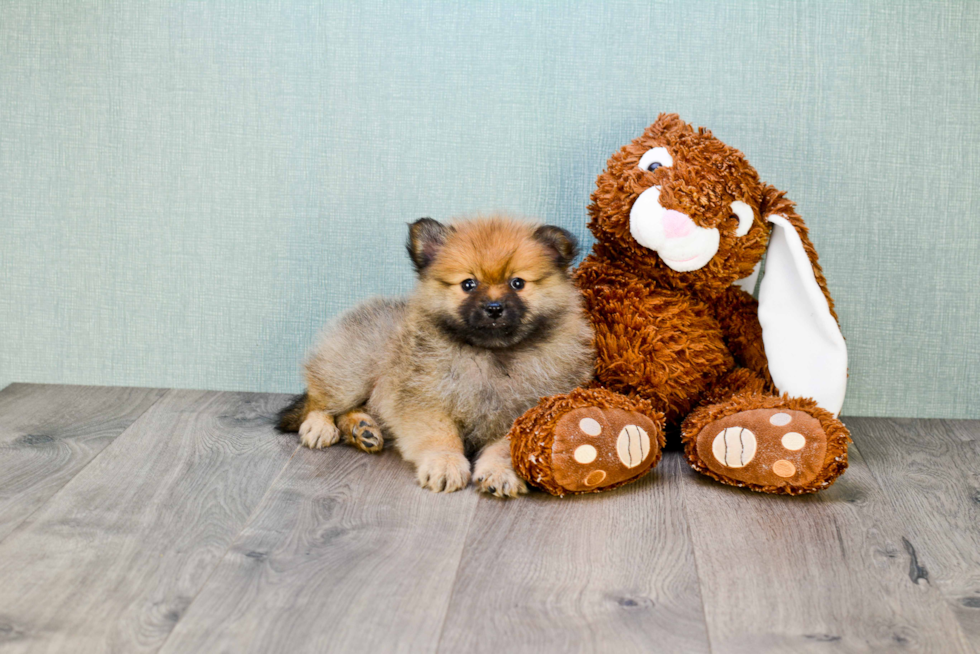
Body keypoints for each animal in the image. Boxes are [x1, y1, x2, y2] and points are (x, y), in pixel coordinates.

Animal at [280, 215, 592, 498]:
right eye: (468, 284)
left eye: (517, 283)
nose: (494, 308)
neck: (490, 354)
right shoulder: (427, 402)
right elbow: (441, 439)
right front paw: (445, 465)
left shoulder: (523, 414)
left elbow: (505, 449)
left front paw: (499, 472)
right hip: (351, 374)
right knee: (318, 401)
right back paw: (321, 427)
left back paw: (362, 429)